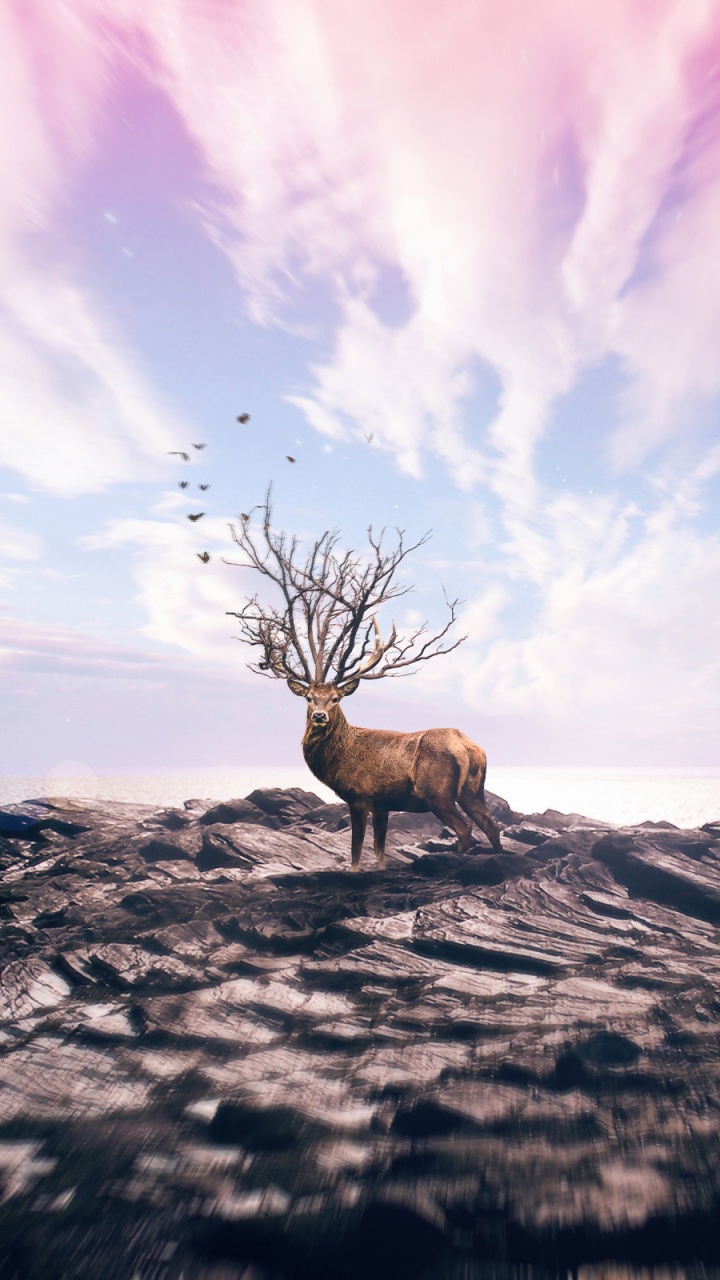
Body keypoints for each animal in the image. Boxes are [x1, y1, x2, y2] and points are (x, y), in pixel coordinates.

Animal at [225, 489, 503, 871]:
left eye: (336, 698)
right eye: (308, 697)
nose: (319, 716)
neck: (340, 759)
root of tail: (470, 746)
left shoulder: (360, 795)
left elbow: (357, 851)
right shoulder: (383, 803)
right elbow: (379, 850)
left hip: (439, 792)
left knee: (466, 830)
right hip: (473, 790)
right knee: (493, 828)